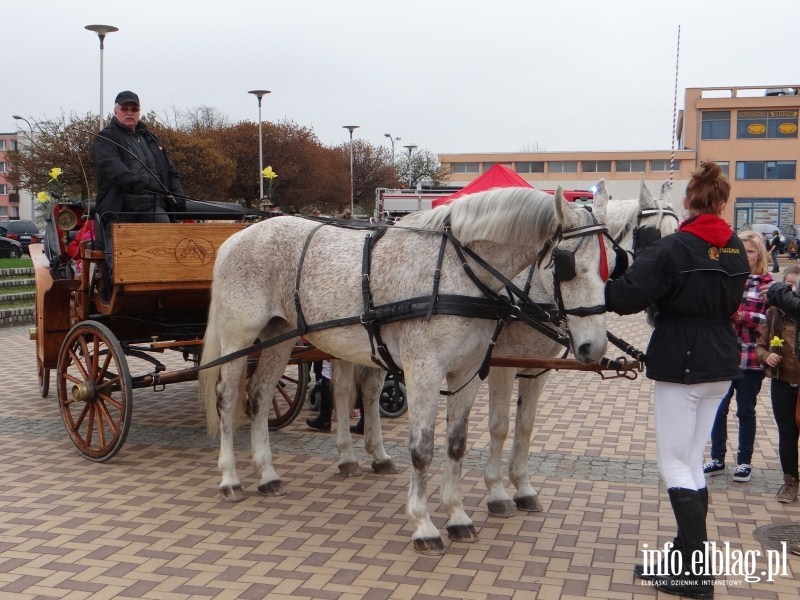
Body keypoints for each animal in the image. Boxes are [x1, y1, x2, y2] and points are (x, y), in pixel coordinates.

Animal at [200, 186, 612, 552]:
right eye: (569, 267)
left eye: (610, 267)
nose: (594, 347)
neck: (454, 270)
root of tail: (236, 239)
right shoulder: (423, 371)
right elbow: (422, 449)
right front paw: (424, 524)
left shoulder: (467, 372)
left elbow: (457, 444)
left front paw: (457, 515)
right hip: (239, 338)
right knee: (229, 398)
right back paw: (230, 478)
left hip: (280, 335)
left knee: (261, 394)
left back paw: (267, 474)